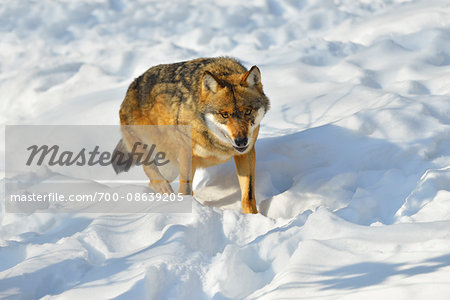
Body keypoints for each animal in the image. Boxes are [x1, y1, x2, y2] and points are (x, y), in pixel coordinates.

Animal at [112, 57, 268, 213]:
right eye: (224, 114)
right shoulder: (187, 153)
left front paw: (252, 216)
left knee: (152, 183)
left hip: (172, 168)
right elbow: (186, 190)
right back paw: (163, 191)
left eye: (247, 111)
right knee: (150, 170)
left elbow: (248, 195)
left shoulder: (246, 153)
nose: (241, 141)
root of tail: (132, 85)